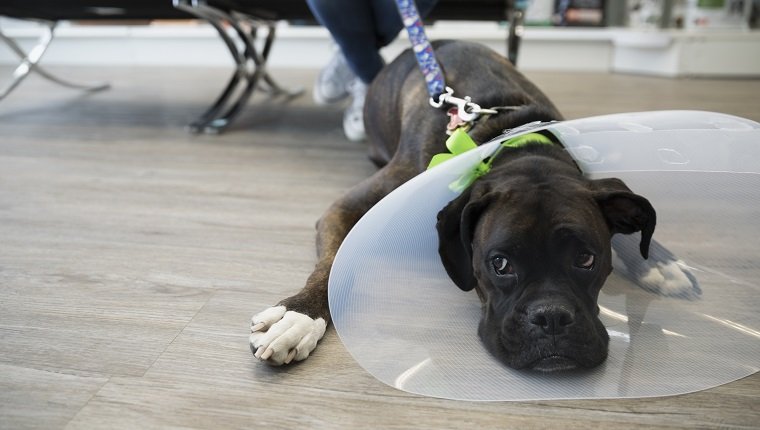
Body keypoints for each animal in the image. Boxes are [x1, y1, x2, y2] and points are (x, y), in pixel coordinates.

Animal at [248, 39, 696, 370]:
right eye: (500, 264)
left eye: (587, 259)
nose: (551, 318)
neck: (504, 136)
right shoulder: (346, 208)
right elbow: (331, 265)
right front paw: (298, 317)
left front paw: (660, 262)